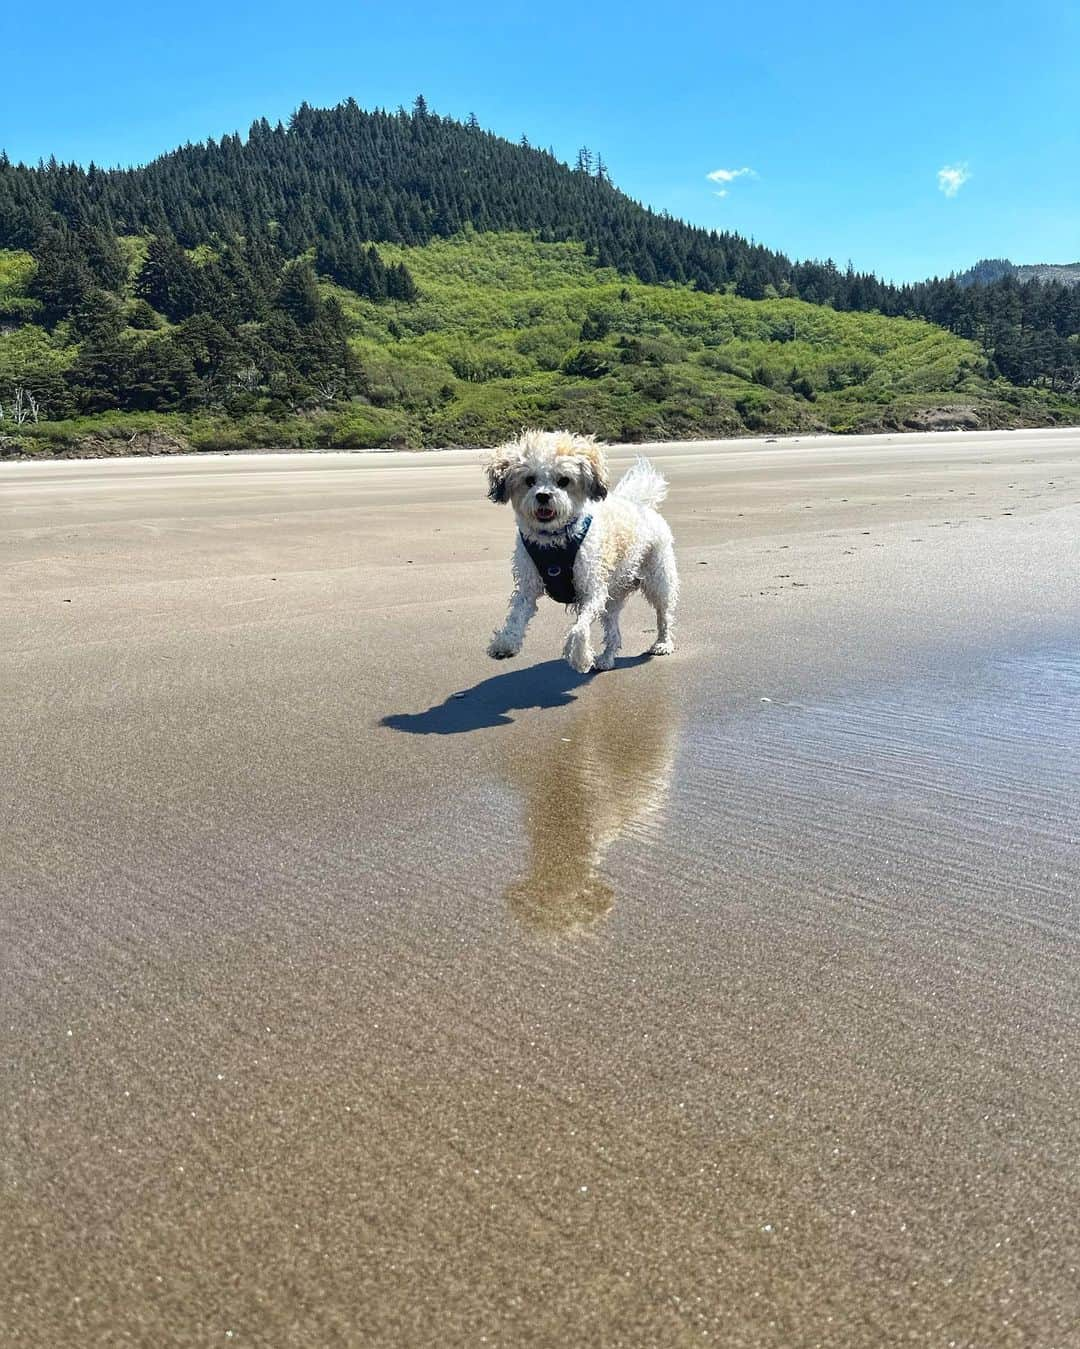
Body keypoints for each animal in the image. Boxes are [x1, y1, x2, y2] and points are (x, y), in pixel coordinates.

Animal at [485, 428, 679, 671]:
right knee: (613, 632)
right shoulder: (528, 589)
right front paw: (506, 642)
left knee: (664, 615)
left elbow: (579, 629)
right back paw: (606, 659)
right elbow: (516, 616)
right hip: (613, 598)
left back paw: (663, 643)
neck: (554, 538)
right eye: (529, 480)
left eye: (563, 480)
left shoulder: (592, 591)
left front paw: (579, 656)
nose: (543, 496)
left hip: (658, 580)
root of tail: (640, 504)